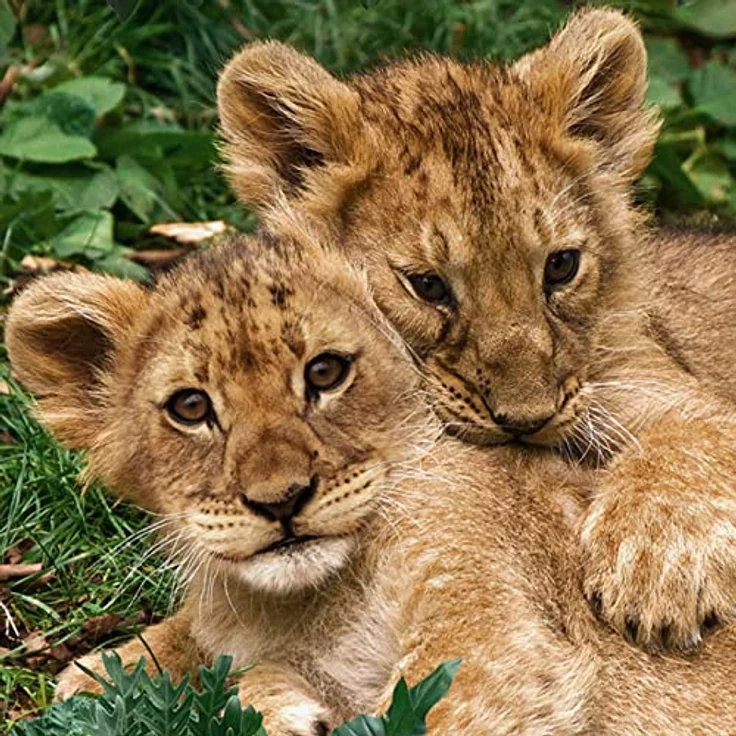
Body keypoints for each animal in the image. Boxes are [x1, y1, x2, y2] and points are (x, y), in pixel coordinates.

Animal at [216, 7, 736, 650]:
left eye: (561, 266)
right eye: (427, 285)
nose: (526, 421)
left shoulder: (658, 382)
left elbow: (689, 442)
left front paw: (654, 573)